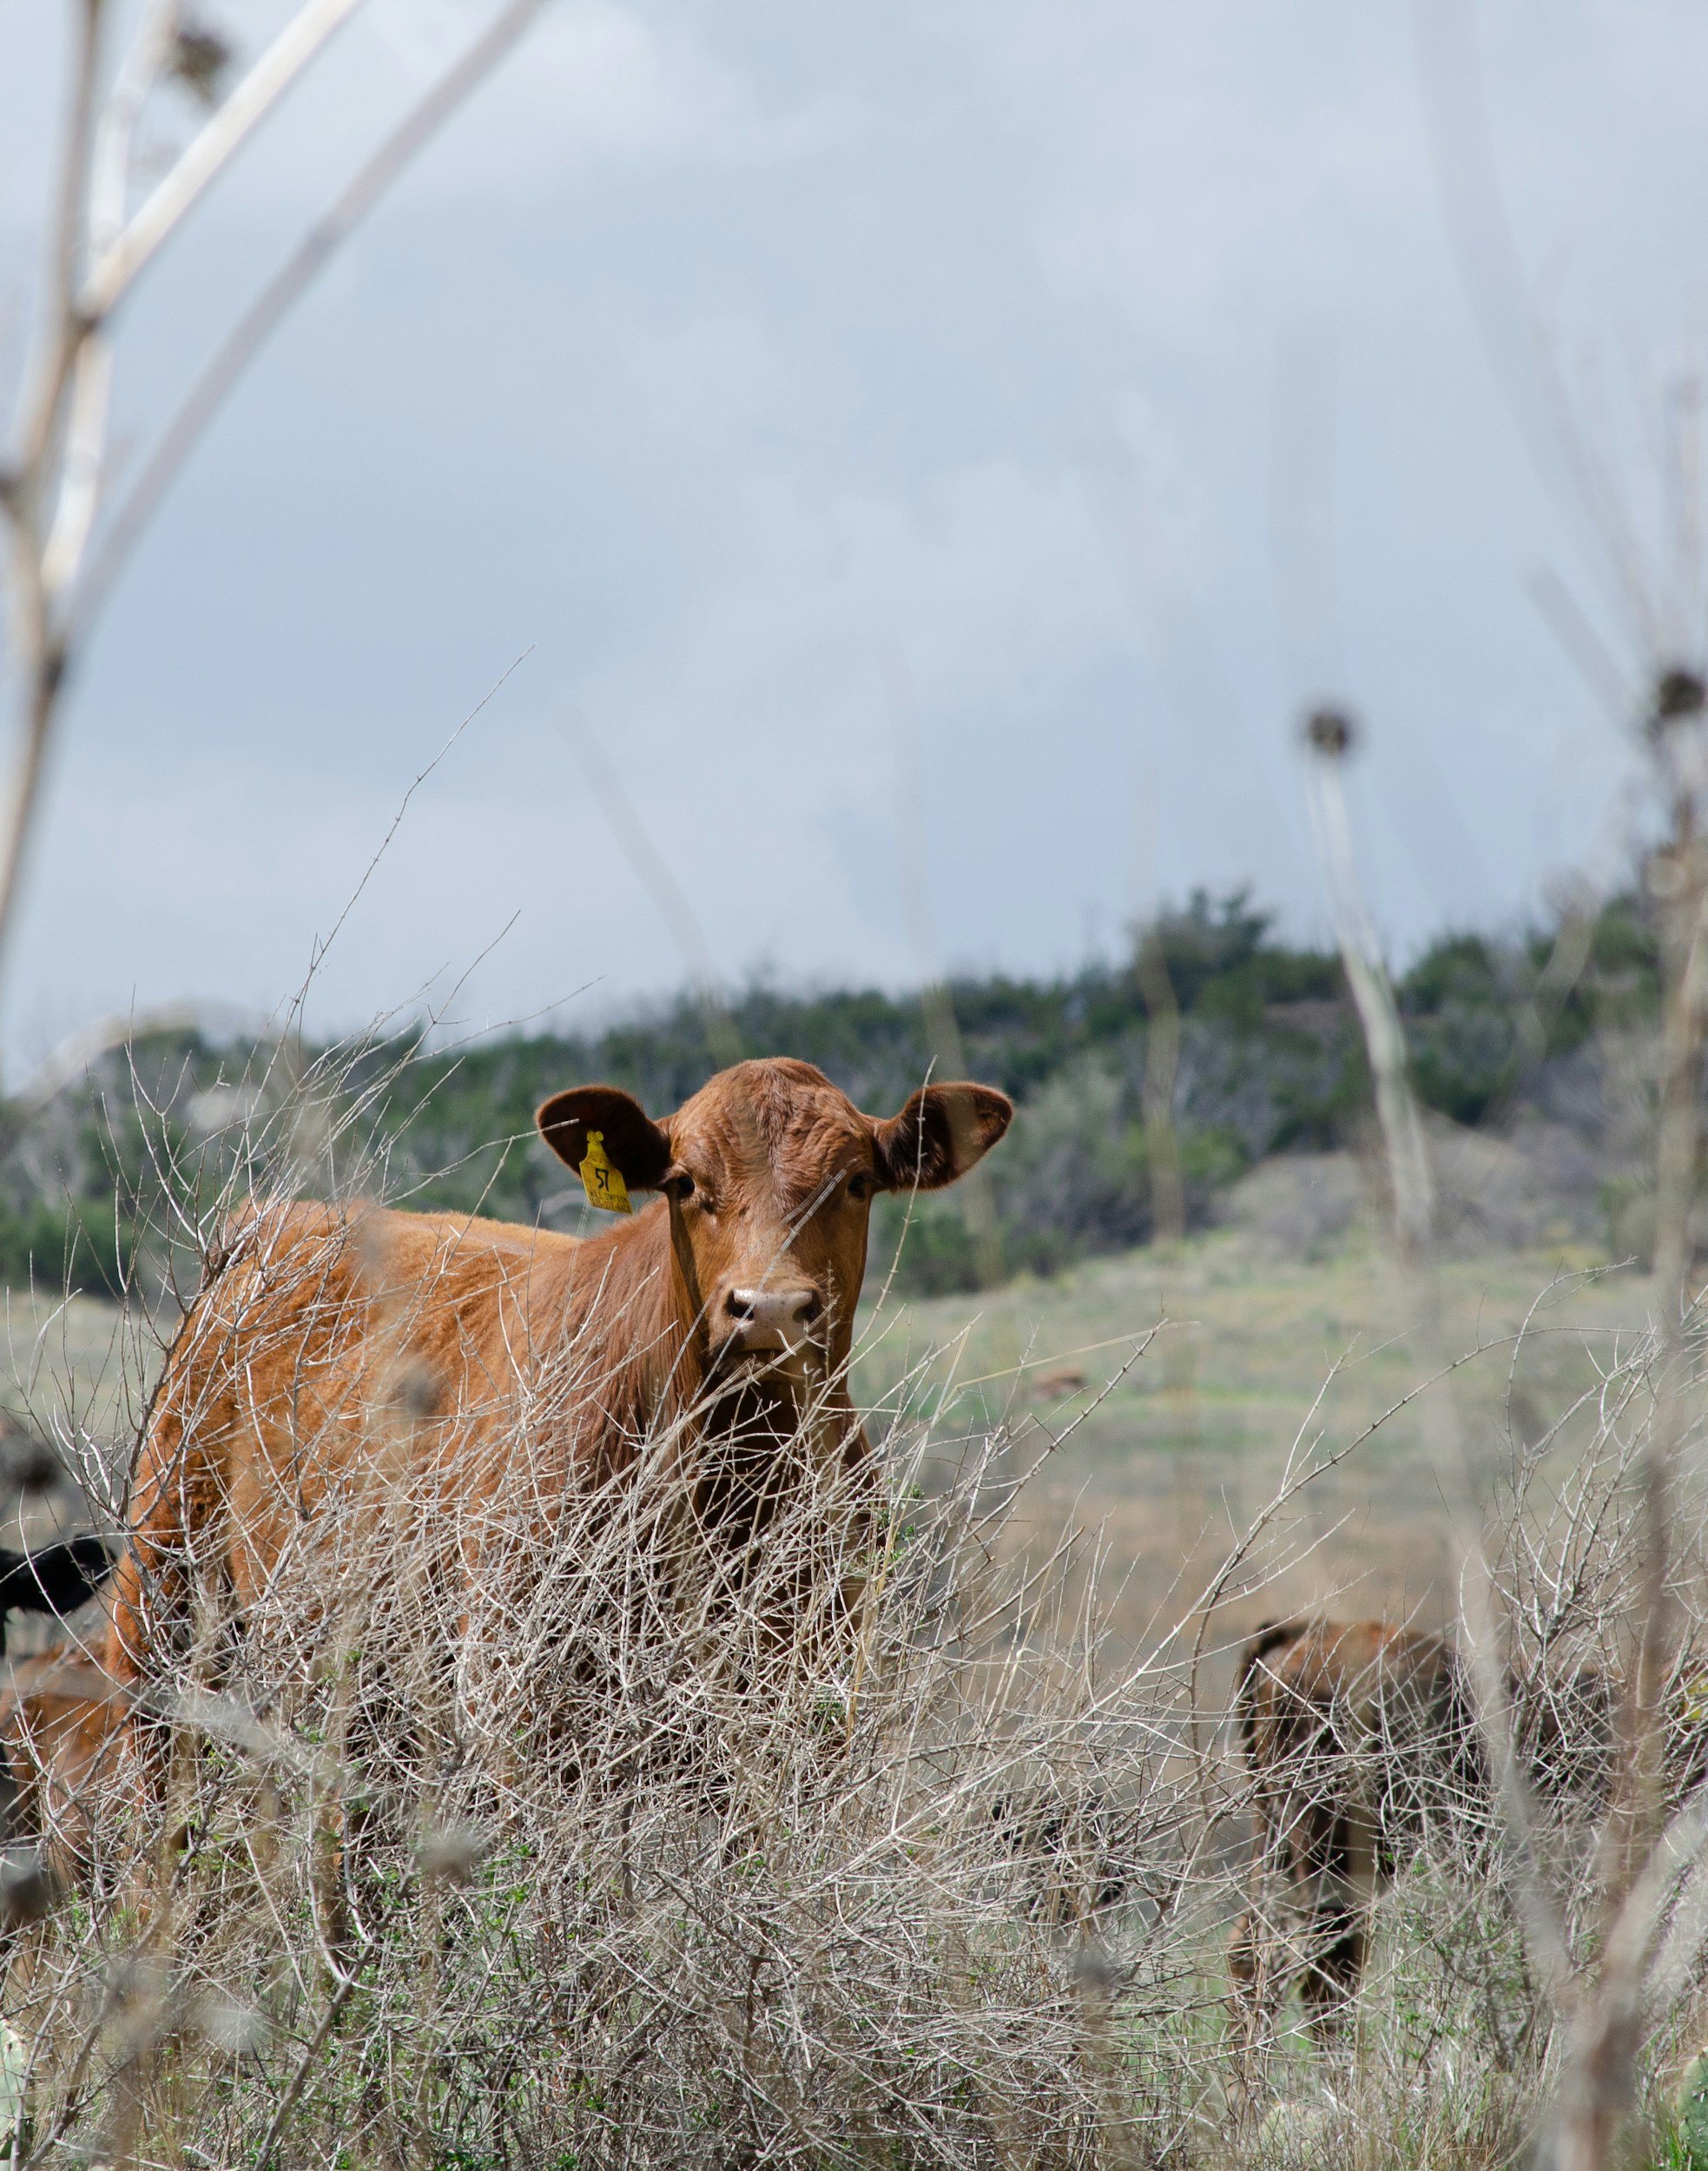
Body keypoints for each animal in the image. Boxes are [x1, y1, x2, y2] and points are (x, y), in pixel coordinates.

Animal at [103, 1059, 1013, 1757]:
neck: (735, 1476)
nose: (771, 1309)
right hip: (162, 1608)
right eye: (684, 1183)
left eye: (855, 1183)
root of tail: (275, 1219)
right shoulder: (515, 1696)